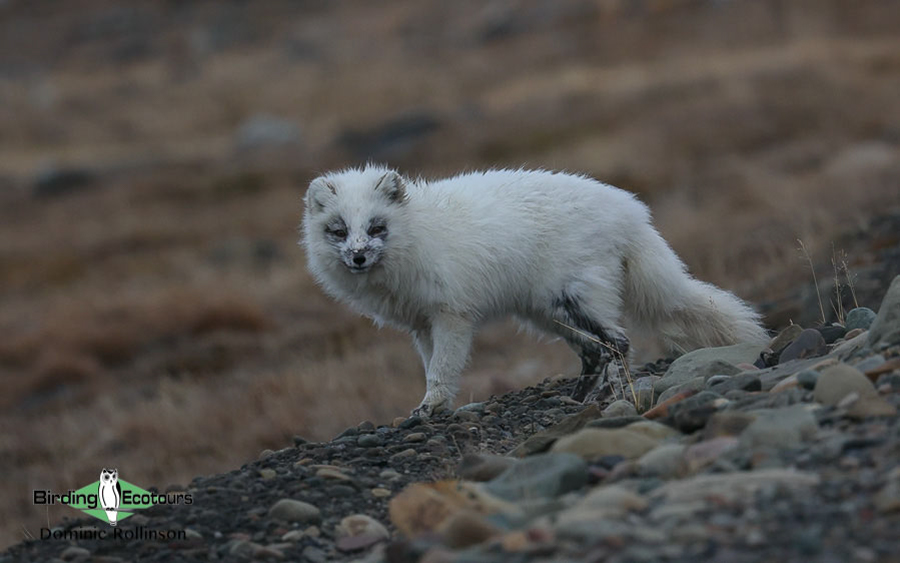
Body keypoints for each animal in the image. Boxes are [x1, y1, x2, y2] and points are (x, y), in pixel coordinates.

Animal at [302, 165, 768, 416]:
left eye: (376, 227)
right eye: (339, 231)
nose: (358, 257)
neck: (418, 232)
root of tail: (632, 213)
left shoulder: (452, 315)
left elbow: (441, 369)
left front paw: (428, 409)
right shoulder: (421, 325)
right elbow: (433, 368)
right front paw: (436, 406)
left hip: (572, 296)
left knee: (617, 342)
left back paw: (611, 395)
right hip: (546, 313)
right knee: (593, 351)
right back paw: (577, 398)